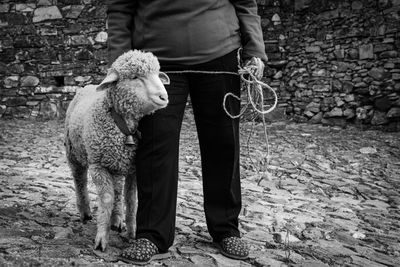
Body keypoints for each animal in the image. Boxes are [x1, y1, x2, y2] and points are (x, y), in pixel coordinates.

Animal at [63, 49, 169, 251]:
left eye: (157, 74)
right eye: (135, 77)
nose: (164, 97)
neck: (122, 126)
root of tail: (87, 86)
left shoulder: (134, 168)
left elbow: (131, 200)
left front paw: (133, 233)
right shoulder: (98, 166)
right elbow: (106, 199)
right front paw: (101, 238)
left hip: (118, 165)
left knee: (118, 191)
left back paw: (117, 220)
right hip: (74, 153)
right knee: (80, 180)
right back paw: (85, 212)